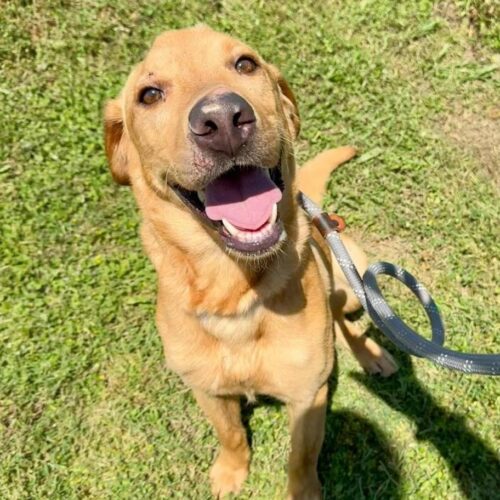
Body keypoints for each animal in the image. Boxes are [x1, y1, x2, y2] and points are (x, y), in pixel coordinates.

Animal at [104, 25, 397, 499]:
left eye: (245, 64)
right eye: (149, 94)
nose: (222, 119)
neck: (235, 293)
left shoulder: (307, 396)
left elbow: (301, 456)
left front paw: (304, 491)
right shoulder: (207, 389)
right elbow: (231, 434)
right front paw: (231, 471)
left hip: (350, 278)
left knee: (344, 318)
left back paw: (370, 354)